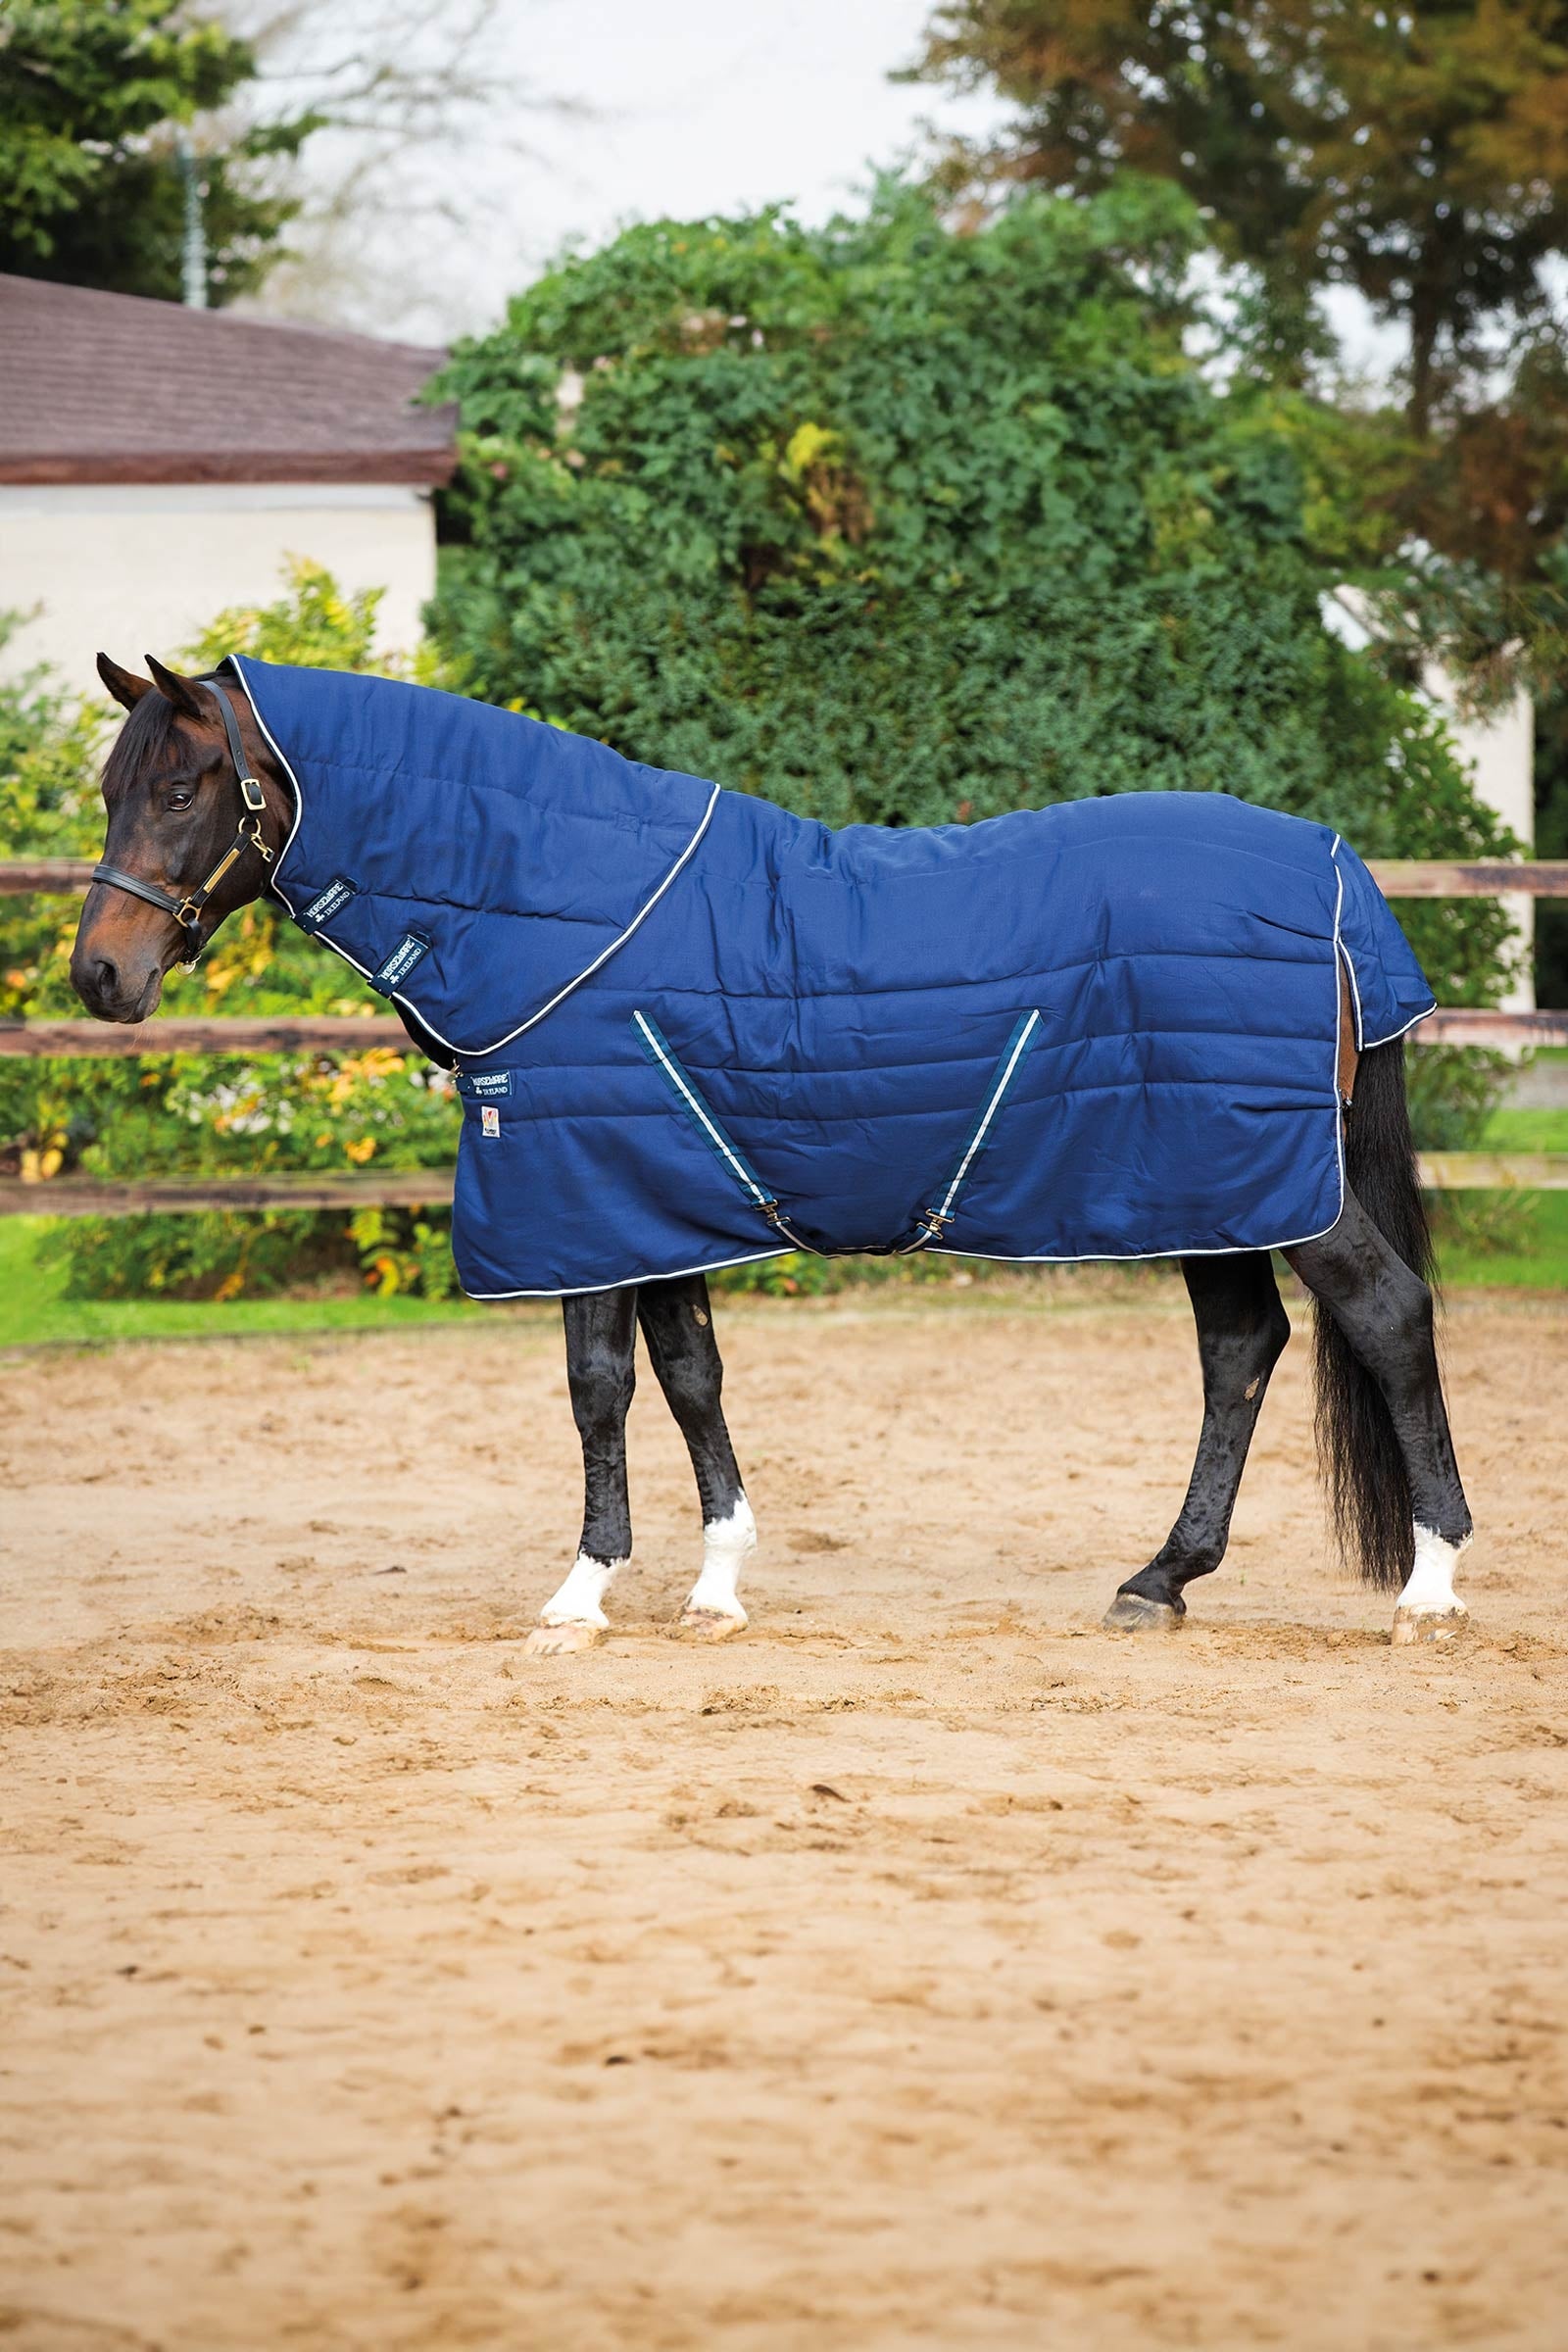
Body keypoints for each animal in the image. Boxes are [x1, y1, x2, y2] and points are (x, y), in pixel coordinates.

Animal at [70, 653, 1473, 1653]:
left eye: (182, 791)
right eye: (108, 792)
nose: (100, 977)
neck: (560, 907)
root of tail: (1336, 877)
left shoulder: (581, 1200)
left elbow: (598, 1389)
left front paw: (581, 1594)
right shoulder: (651, 1200)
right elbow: (691, 1379)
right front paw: (717, 1585)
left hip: (1270, 1184)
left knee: (1387, 1315)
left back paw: (1430, 1585)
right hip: (1205, 1187)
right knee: (1241, 1351)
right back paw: (1159, 1580)